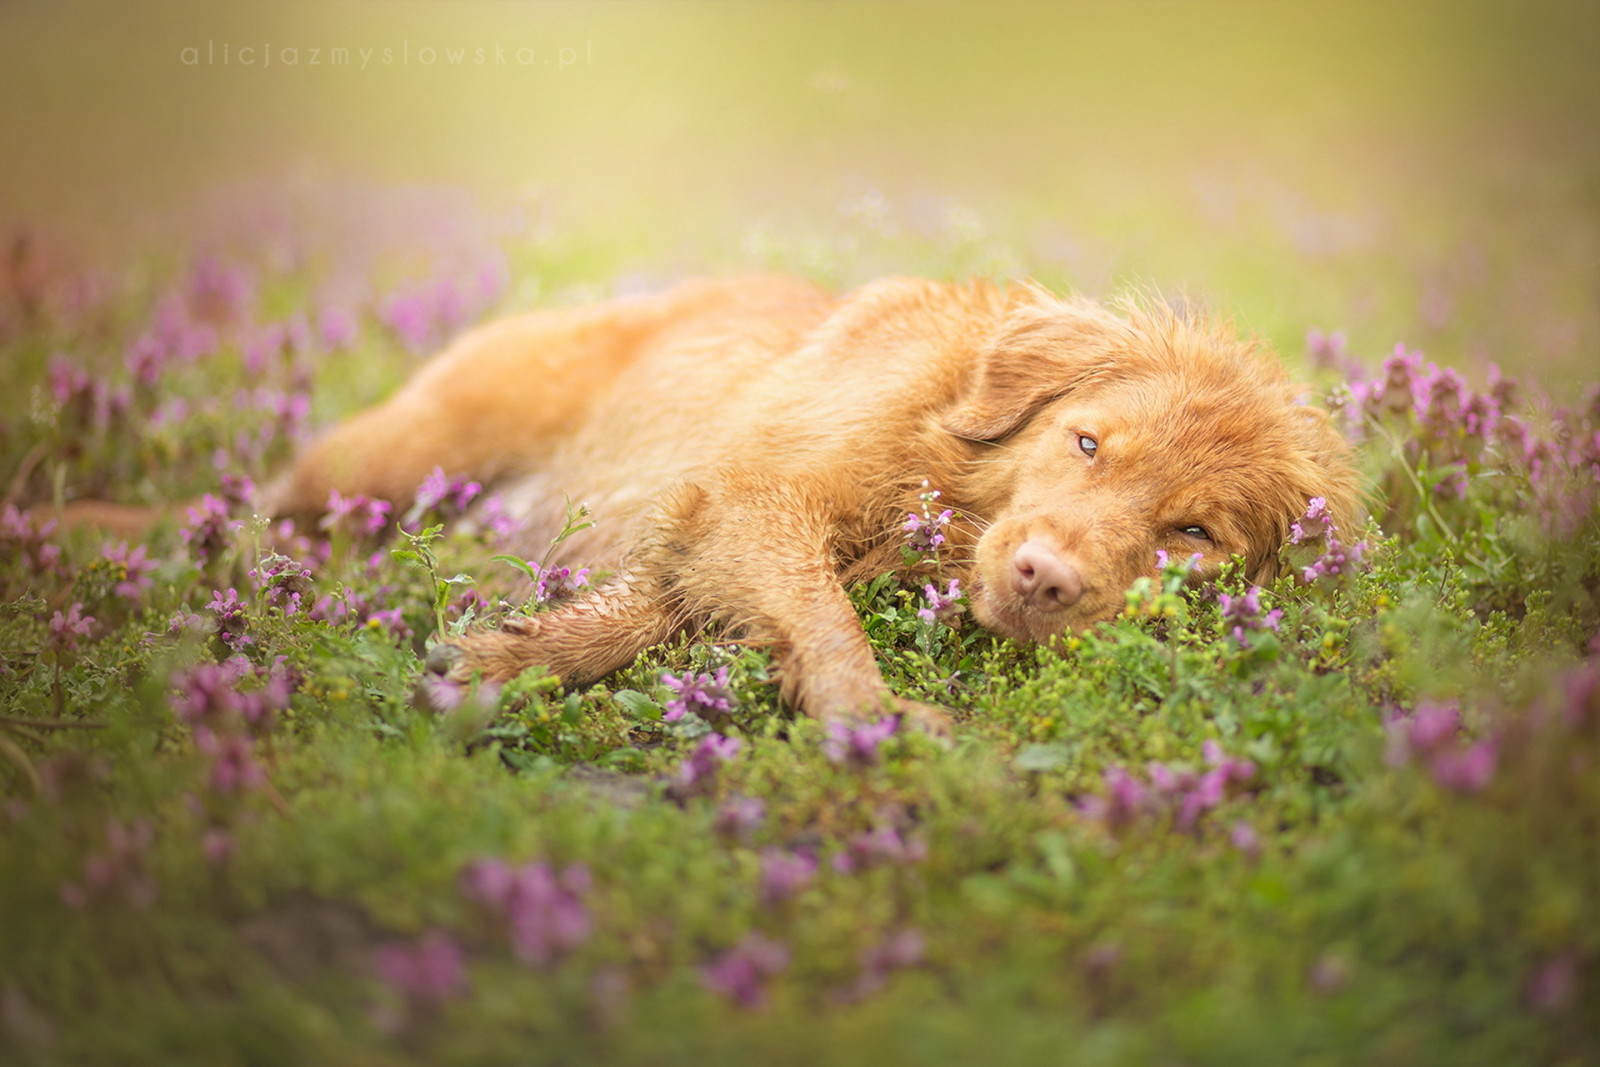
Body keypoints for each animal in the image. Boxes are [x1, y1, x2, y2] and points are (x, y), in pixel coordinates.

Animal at [219, 273, 1356, 726]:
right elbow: (826, 616)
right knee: (261, 510)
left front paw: (511, 653)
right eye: (1086, 443)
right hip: (402, 449)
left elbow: (650, 609)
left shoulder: (708, 523)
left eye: (1191, 533)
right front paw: (876, 721)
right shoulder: (758, 496)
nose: (1043, 579)